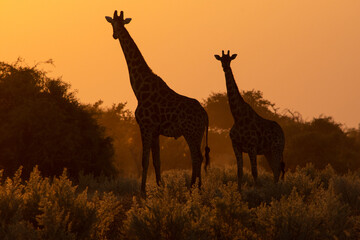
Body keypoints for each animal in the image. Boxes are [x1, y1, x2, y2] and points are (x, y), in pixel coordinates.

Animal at [105, 10, 210, 195]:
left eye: (118, 24)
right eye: (113, 23)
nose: (114, 35)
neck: (139, 89)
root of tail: (205, 114)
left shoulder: (145, 126)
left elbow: (144, 160)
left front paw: (143, 192)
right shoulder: (155, 131)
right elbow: (157, 161)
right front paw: (160, 188)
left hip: (190, 132)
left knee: (196, 157)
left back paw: (192, 189)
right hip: (196, 134)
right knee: (199, 157)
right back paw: (196, 188)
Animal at [215, 50, 286, 189]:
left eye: (229, 60)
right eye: (221, 60)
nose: (225, 67)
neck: (237, 116)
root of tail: (282, 132)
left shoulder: (252, 146)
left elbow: (254, 171)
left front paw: (257, 190)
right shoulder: (236, 146)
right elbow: (239, 171)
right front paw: (238, 191)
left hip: (277, 149)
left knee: (277, 169)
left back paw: (276, 190)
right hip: (268, 152)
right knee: (275, 170)